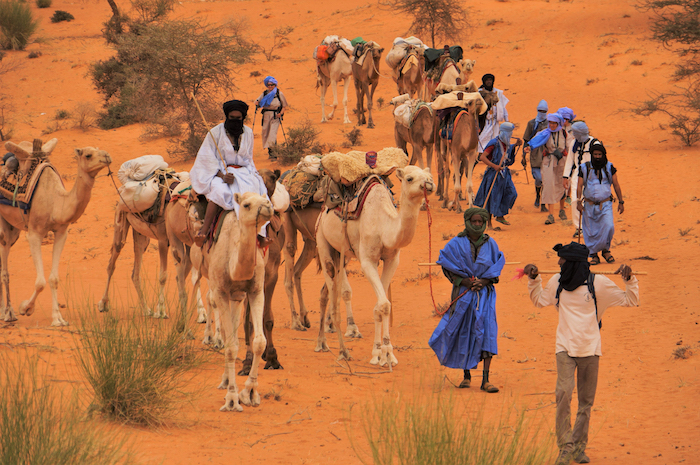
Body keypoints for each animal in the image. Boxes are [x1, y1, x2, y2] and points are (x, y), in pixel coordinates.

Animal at [0, 140, 110, 324]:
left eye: (99, 149)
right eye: (88, 155)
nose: (107, 156)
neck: (55, 202)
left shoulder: (61, 233)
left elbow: (53, 279)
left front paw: (58, 318)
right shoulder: (34, 234)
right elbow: (40, 282)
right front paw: (25, 308)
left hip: (12, 228)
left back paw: (7, 312)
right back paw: (7, 313)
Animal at [316, 165, 432, 364]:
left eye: (430, 176)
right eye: (409, 178)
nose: (430, 185)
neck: (384, 226)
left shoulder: (392, 260)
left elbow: (381, 305)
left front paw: (382, 353)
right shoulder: (367, 261)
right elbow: (384, 304)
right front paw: (383, 353)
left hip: (342, 254)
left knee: (330, 290)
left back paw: (326, 340)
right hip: (322, 242)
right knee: (332, 291)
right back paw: (339, 349)